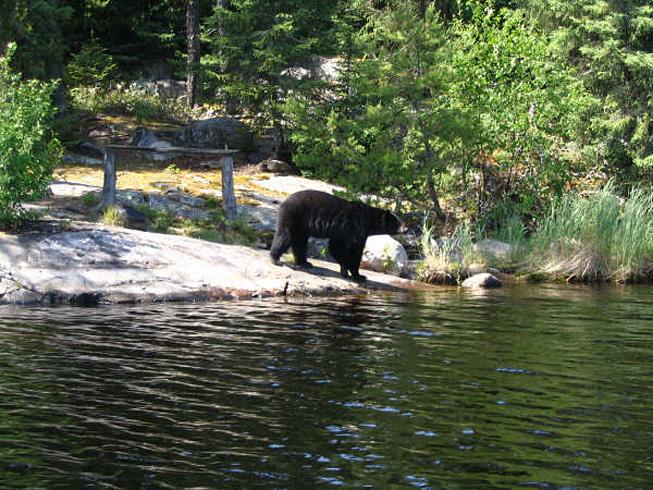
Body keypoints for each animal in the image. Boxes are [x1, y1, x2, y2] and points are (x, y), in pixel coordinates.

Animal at [270, 190, 406, 282]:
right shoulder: (352, 228)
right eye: (398, 222)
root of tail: (284, 201)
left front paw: (352, 273)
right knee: (285, 236)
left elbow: (346, 249)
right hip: (293, 215)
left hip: (302, 226)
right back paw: (275, 258)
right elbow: (345, 249)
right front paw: (352, 273)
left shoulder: (350, 233)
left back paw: (304, 262)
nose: (406, 228)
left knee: (300, 241)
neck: (367, 221)